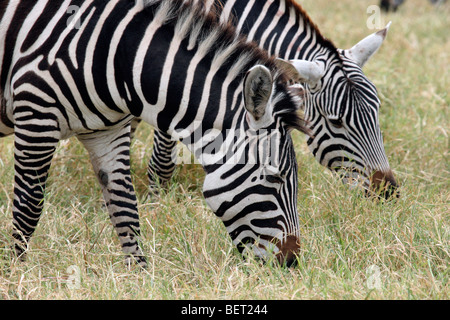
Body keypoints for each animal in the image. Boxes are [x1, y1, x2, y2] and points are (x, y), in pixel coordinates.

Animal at [0, 0, 312, 264]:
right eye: (274, 177)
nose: (291, 262)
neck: (120, 58)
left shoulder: (107, 131)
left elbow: (125, 206)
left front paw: (137, 273)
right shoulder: (36, 111)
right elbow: (29, 206)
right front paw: (19, 270)